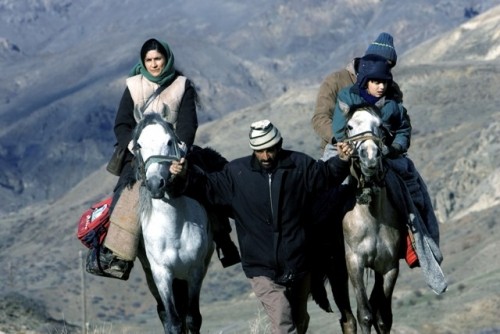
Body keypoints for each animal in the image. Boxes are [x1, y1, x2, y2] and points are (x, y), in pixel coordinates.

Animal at [132, 113, 214, 334]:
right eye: (139, 145)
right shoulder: (161, 274)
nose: (155, 184)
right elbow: (174, 321)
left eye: (169, 141)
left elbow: (192, 318)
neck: (173, 230)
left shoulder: (195, 271)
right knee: (164, 314)